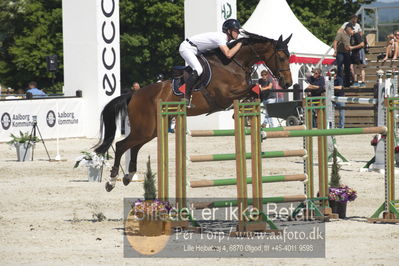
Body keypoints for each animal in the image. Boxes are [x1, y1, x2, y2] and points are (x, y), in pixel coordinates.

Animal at [94, 31, 294, 191]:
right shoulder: (225, 95)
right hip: (145, 127)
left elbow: (255, 93)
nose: (287, 84)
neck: (233, 63)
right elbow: (254, 88)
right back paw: (112, 181)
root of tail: (133, 94)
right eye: (281, 57)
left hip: (152, 130)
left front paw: (261, 131)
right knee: (122, 145)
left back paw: (128, 176)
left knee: (134, 146)